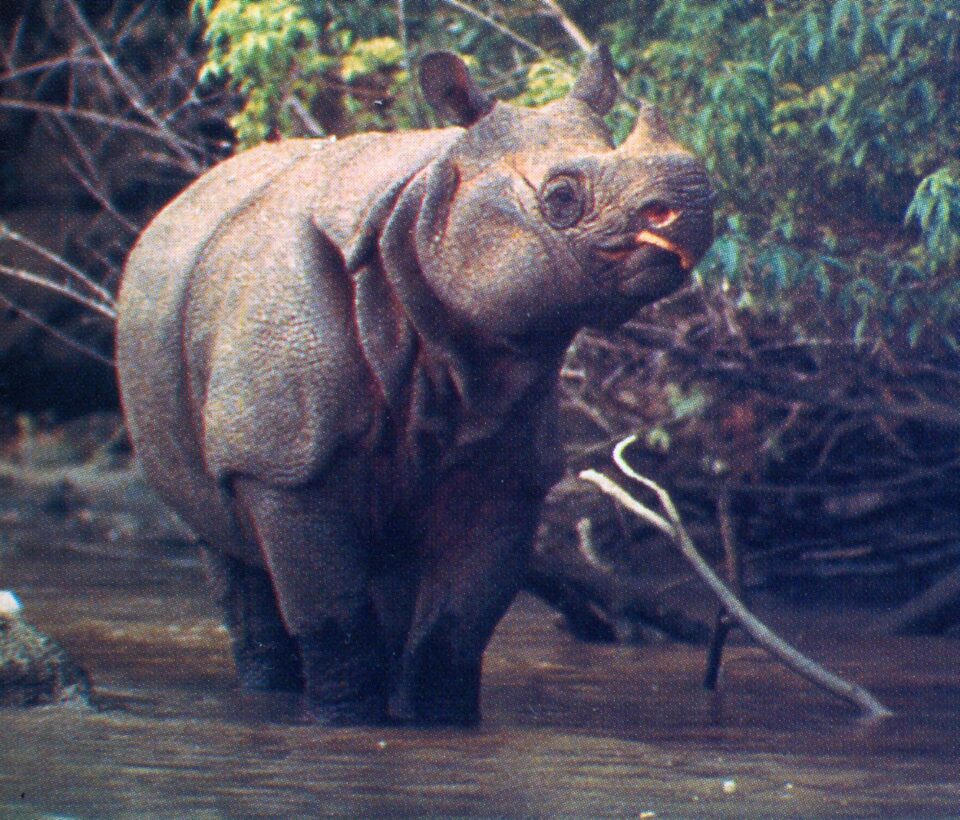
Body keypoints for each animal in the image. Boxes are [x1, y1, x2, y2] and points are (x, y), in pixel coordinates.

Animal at [116, 46, 714, 725]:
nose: (693, 206)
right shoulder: (282, 461)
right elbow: (332, 616)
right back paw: (267, 691)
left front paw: (439, 722)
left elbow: (457, 624)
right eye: (561, 197)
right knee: (227, 547)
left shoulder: (507, 467)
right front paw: (345, 723)